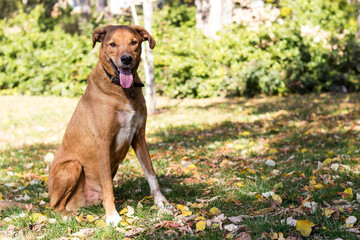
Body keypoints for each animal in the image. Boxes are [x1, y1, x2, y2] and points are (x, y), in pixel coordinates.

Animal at [47, 24, 169, 225]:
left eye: (133, 42)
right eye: (112, 44)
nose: (126, 59)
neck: (123, 91)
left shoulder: (139, 137)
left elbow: (151, 174)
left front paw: (162, 204)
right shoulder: (103, 142)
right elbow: (108, 185)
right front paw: (113, 217)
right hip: (72, 166)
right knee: (55, 207)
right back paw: (69, 217)